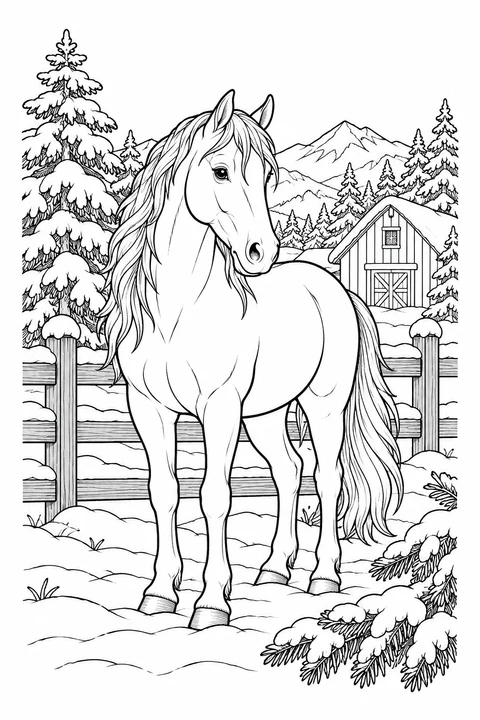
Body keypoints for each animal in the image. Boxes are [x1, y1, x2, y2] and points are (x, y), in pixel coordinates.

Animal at [99, 90, 403, 630]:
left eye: (266, 176)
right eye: (220, 171)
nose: (261, 252)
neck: (179, 310)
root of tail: (338, 290)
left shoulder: (219, 409)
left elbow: (214, 496)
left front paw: (211, 603)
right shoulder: (149, 408)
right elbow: (164, 492)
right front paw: (159, 593)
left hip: (324, 406)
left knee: (326, 477)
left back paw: (324, 576)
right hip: (265, 414)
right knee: (289, 470)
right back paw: (274, 569)